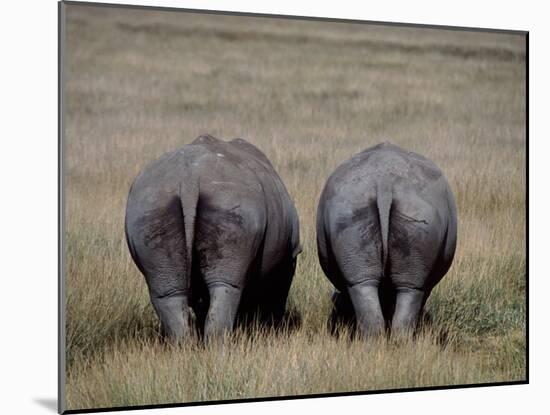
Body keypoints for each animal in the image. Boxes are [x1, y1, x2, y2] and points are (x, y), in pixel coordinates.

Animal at [125, 136, 302, 342]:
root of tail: (189, 179)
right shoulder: (290, 255)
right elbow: (277, 293)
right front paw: (271, 329)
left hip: (149, 207)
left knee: (167, 292)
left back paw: (186, 346)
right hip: (232, 201)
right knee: (226, 286)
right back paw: (219, 346)